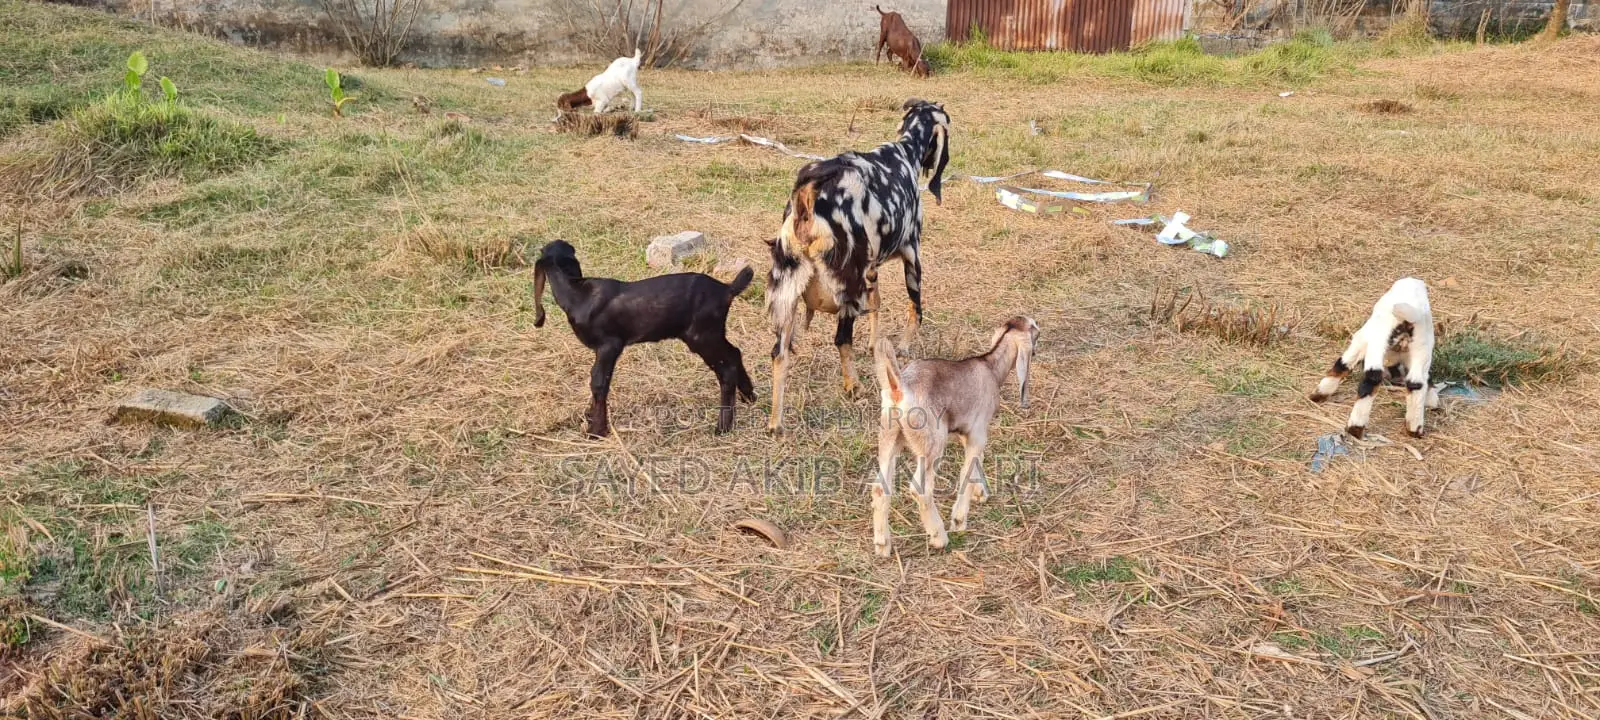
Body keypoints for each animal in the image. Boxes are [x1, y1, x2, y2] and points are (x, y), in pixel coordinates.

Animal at [533, 240, 756, 437]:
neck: (578, 294)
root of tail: (727, 289)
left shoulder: (609, 345)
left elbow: (599, 382)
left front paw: (597, 431)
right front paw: (591, 418)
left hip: (702, 336)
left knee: (726, 369)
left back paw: (723, 427)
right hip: (712, 333)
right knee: (735, 353)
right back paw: (749, 396)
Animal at [765, 99, 951, 435]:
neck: (904, 152)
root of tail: (807, 198)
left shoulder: (872, 268)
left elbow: (877, 304)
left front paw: (875, 344)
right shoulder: (912, 254)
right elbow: (915, 308)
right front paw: (904, 347)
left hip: (786, 293)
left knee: (779, 355)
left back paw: (776, 422)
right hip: (846, 289)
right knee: (841, 340)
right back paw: (852, 385)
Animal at [870, 317, 1039, 557]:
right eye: (1036, 331)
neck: (990, 367)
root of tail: (899, 386)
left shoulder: (967, 434)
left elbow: (977, 460)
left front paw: (981, 492)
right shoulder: (978, 432)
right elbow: (968, 470)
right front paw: (959, 520)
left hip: (889, 435)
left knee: (879, 487)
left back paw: (883, 545)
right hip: (932, 442)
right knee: (920, 489)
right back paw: (939, 537)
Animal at [1310, 277, 1440, 439]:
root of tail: (1411, 315)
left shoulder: (1362, 339)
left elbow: (1344, 363)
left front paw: (1320, 393)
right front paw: (1432, 400)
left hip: (1378, 342)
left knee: (1372, 378)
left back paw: (1355, 427)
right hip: (1421, 348)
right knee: (1416, 384)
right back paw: (1414, 429)